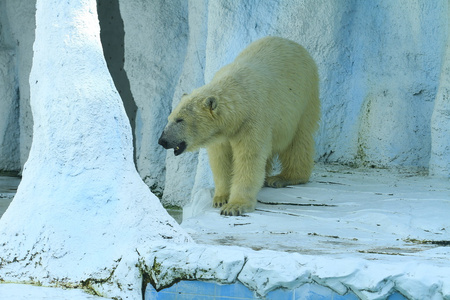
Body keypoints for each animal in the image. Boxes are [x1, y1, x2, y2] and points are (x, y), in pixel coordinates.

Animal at [158, 37, 320, 216]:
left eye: (180, 120)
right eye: (170, 118)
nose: (162, 140)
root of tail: (294, 44)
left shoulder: (252, 120)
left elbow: (248, 158)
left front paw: (234, 206)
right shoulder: (222, 133)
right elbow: (221, 159)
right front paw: (220, 198)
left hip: (304, 97)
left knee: (298, 140)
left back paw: (283, 178)